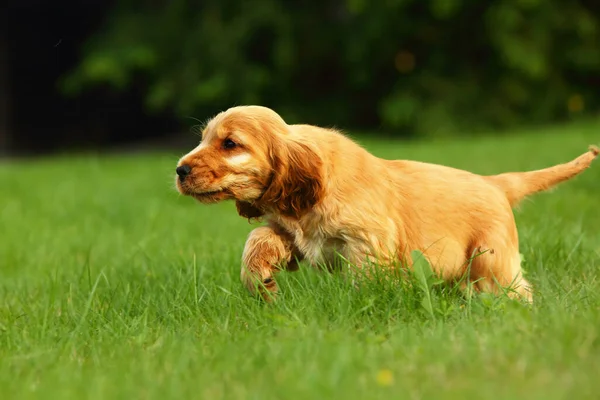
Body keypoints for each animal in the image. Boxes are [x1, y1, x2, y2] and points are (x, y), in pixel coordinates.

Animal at [173, 104, 596, 302]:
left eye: (231, 144)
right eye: (205, 138)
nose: (179, 169)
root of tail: (496, 183)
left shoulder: (369, 242)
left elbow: (364, 281)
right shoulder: (293, 234)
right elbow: (258, 239)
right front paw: (260, 283)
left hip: (492, 261)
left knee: (515, 290)